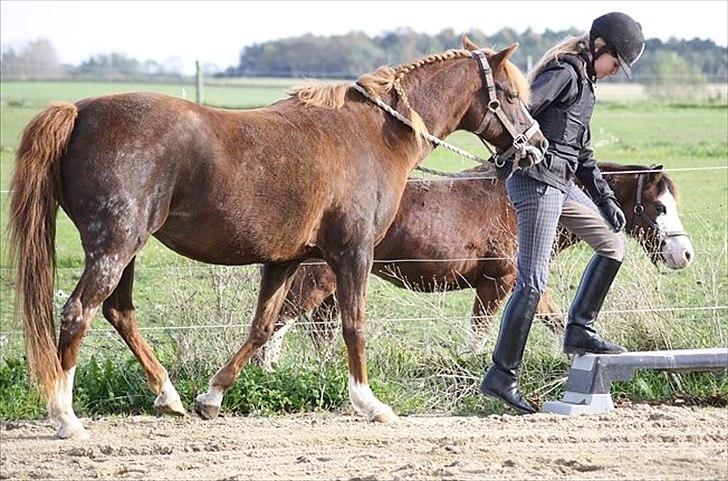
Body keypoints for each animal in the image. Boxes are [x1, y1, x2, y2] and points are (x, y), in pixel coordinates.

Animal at [7, 36, 544, 438]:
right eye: (510, 94)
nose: (536, 146)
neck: (373, 134)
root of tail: (78, 111)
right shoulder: (353, 253)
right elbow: (354, 325)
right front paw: (369, 403)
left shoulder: (286, 259)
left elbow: (263, 328)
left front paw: (211, 397)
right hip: (115, 245)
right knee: (78, 313)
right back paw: (65, 417)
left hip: (126, 247)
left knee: (119, 313)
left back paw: (169, 395)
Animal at [258, 162, 692, 368]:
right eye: (659, 206)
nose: (684, 254)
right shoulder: (497, 283)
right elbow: (480, 334)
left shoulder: (524, 281)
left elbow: (553, 319)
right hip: (317, 281)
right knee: (282, 320)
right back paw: (270, 370)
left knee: (320, 331)